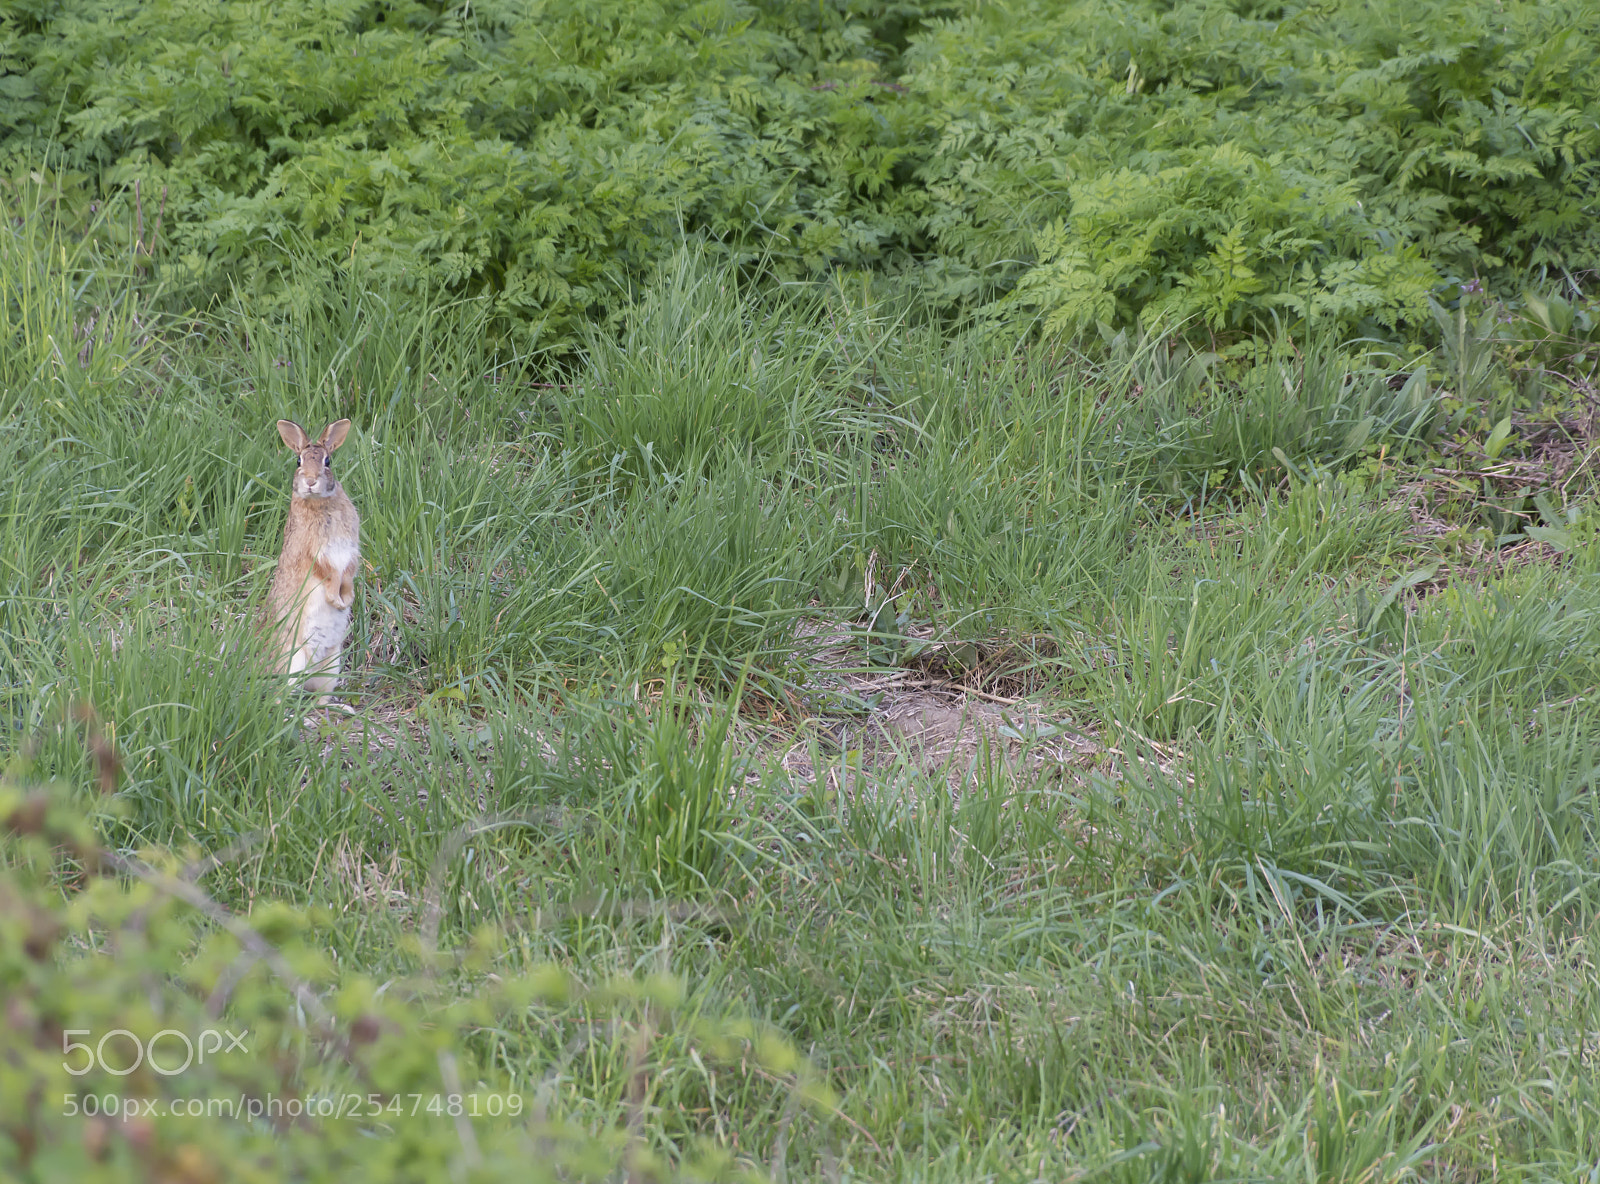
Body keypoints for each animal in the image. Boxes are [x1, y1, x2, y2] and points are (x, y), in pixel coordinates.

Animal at [263, 419, 360, 708]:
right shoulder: (314, 553)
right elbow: (329, 574)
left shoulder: (350, 552)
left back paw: (340, 708)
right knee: (282, 701)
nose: (310, 482)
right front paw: (336, 601)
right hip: (294, 661)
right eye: (298, 460)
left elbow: (347, 574)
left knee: (319, 699)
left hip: (331, 664)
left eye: (328, 461)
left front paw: (346, 600)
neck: (320, 502)